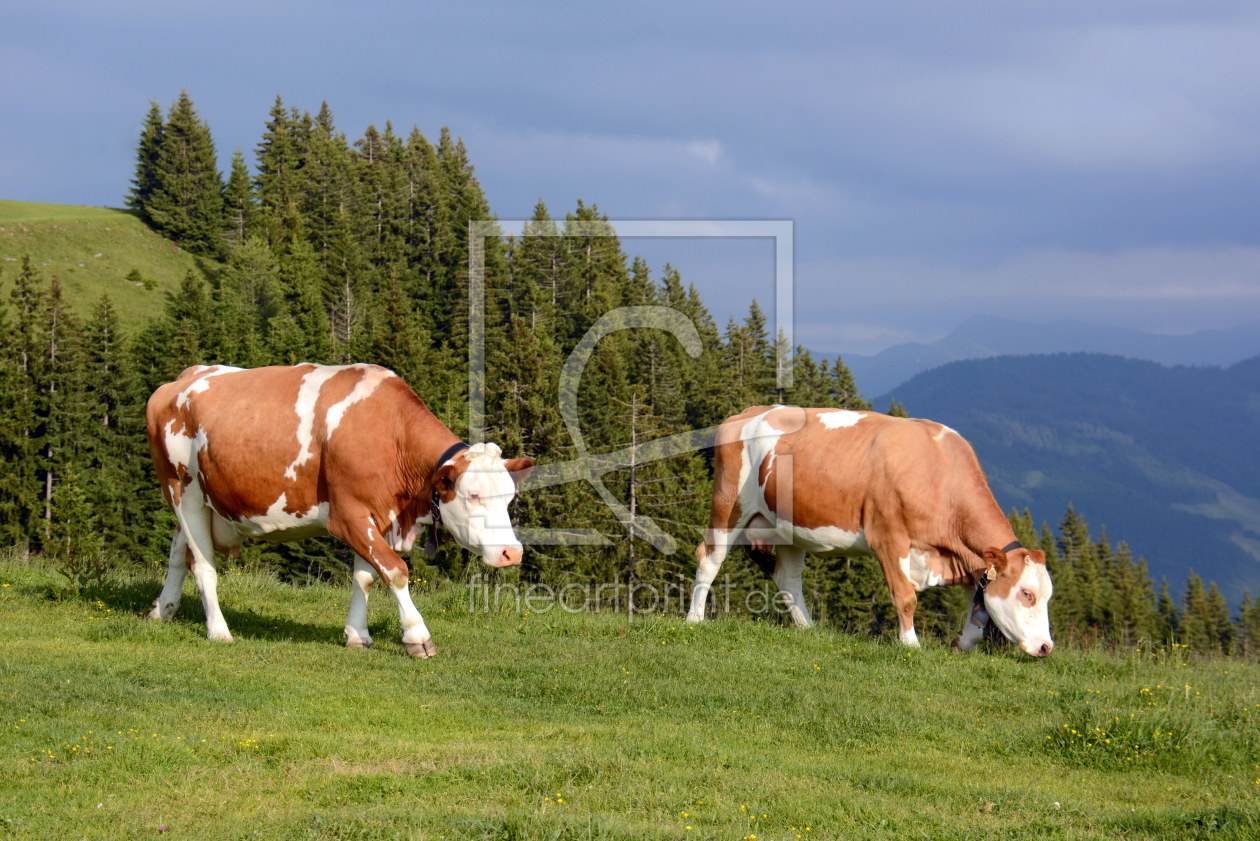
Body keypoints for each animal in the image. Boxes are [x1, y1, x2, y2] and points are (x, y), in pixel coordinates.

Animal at [146, 363, 531, 655]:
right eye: (474, 495)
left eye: (509, 497)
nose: (512, 553)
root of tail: (185, 376)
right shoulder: (347, 515)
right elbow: (395, 570)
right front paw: (416, 636)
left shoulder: (377, 514)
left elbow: (366, 576)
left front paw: (358, 635)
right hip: (182, 488)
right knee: (203, 564)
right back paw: (218, 630)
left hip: (201, 500)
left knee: (178, 551)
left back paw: (162, 609)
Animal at [690, 408, 1053, 655]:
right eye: (1026, 593)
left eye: (1046, 595)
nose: (1046, 647)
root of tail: (751, 411)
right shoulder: (889, 537)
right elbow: (905, 596)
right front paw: (911, 645)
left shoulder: (966, 559)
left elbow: (979, 613)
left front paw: (961, 642)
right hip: (728, 505)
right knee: (709, 558)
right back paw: (694, 619)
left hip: (790, 527)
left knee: (787, 578)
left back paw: (809, 628)